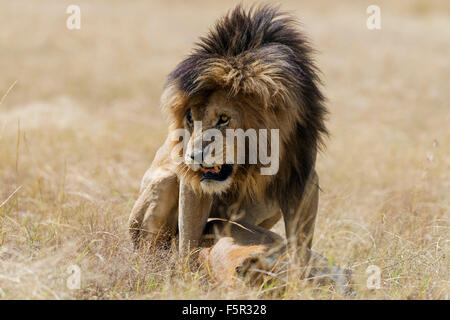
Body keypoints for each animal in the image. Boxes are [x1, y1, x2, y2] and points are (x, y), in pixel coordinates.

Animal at [128, 5, 328, 260]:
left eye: (223, 119)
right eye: (190, 118)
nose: (193, 157)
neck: (251, 165)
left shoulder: (303, 179)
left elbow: (301, 246)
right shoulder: (191, 183)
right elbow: (188, 239)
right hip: (163, 183)